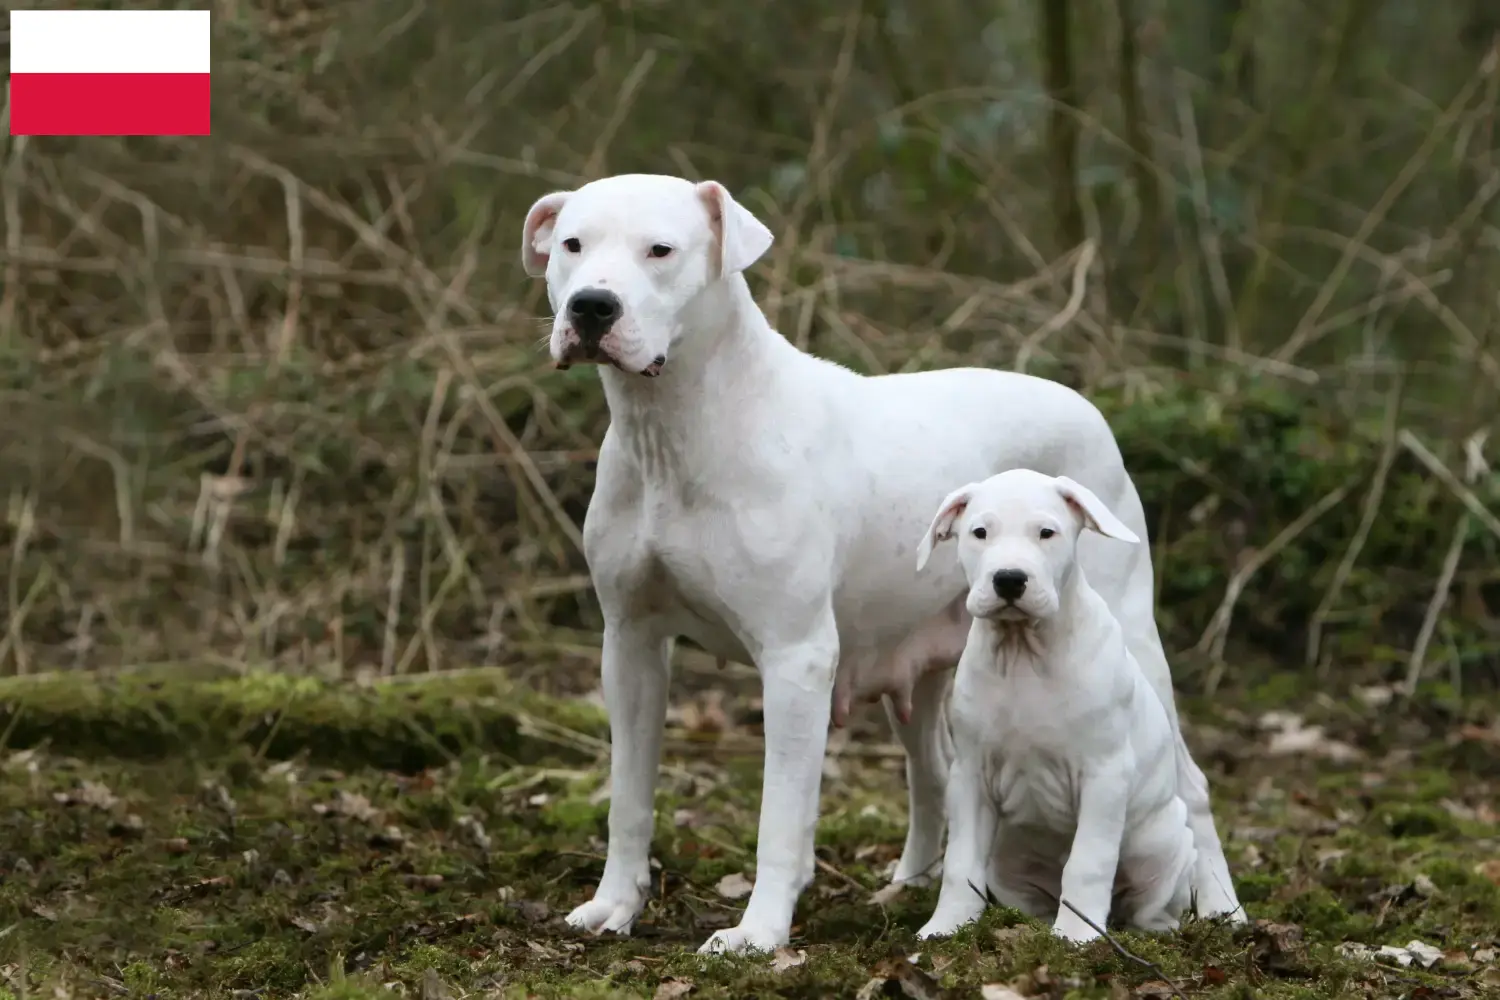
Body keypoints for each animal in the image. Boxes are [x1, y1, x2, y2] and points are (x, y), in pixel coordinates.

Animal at [906, 464, 1200, 941]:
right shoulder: (969, 778)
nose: (1009, 578)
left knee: (1150, 903)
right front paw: (946, 927)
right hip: (1008, 865)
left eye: (1047, 533)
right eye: (979, 533)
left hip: (1163, 843)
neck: (1024, 652)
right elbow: (959, 864)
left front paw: (1076, 937)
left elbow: (1088, 862)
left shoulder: (1105, 775)